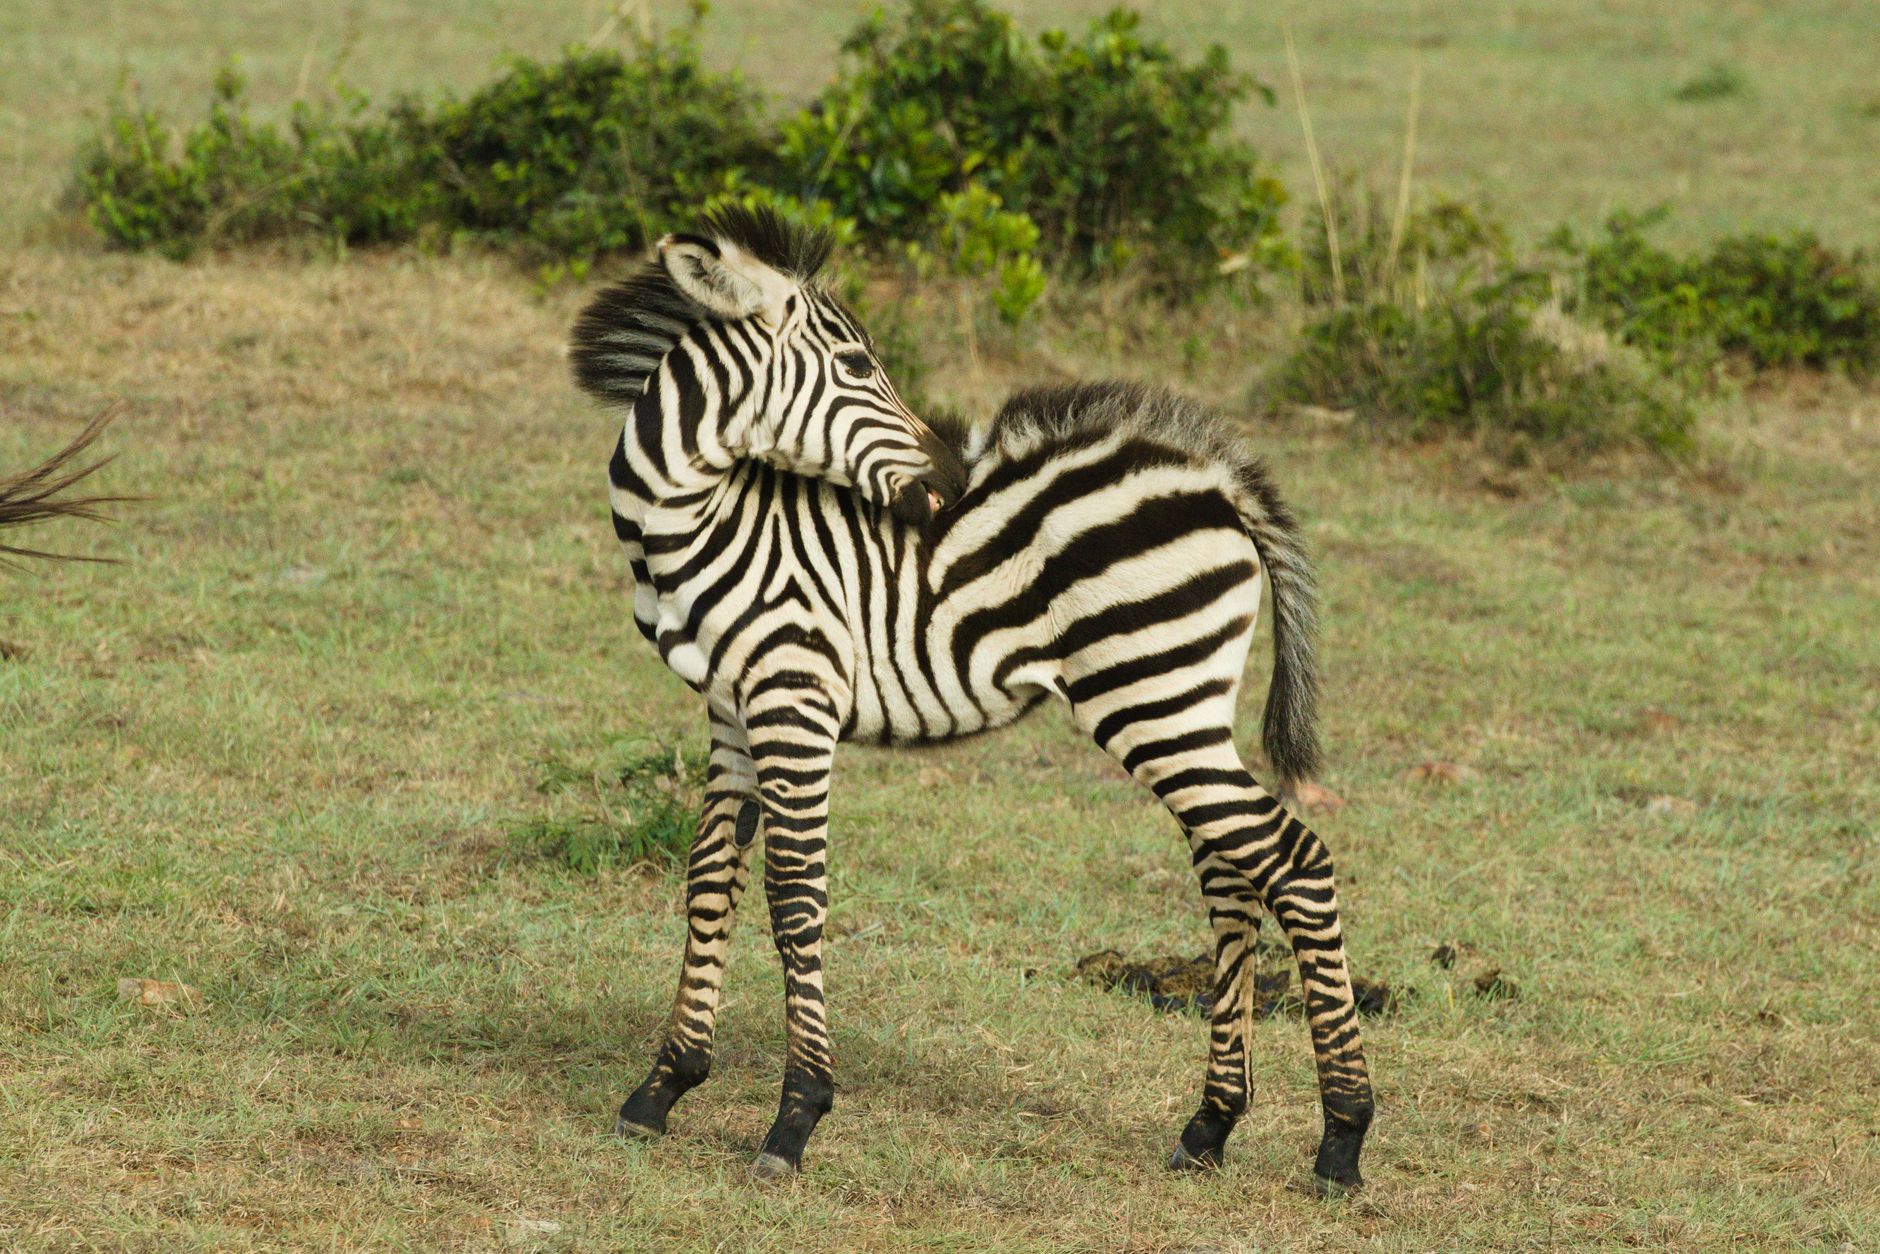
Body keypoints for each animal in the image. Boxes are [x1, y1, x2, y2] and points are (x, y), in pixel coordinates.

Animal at [569, 206, 1374, 1192]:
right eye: (856, 365)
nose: (949, 483)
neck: (702, 519)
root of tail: (1216, 478)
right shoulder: (731, 710)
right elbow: (709, 879)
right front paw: (664, 1087)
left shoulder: (795, 696)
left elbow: (794, 896)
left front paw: (796, 1117)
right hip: (1181, 702)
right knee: (1233, 874)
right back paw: (1211, 1124)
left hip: (1151, 697)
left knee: (1294, 862)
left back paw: (1342, 1137)